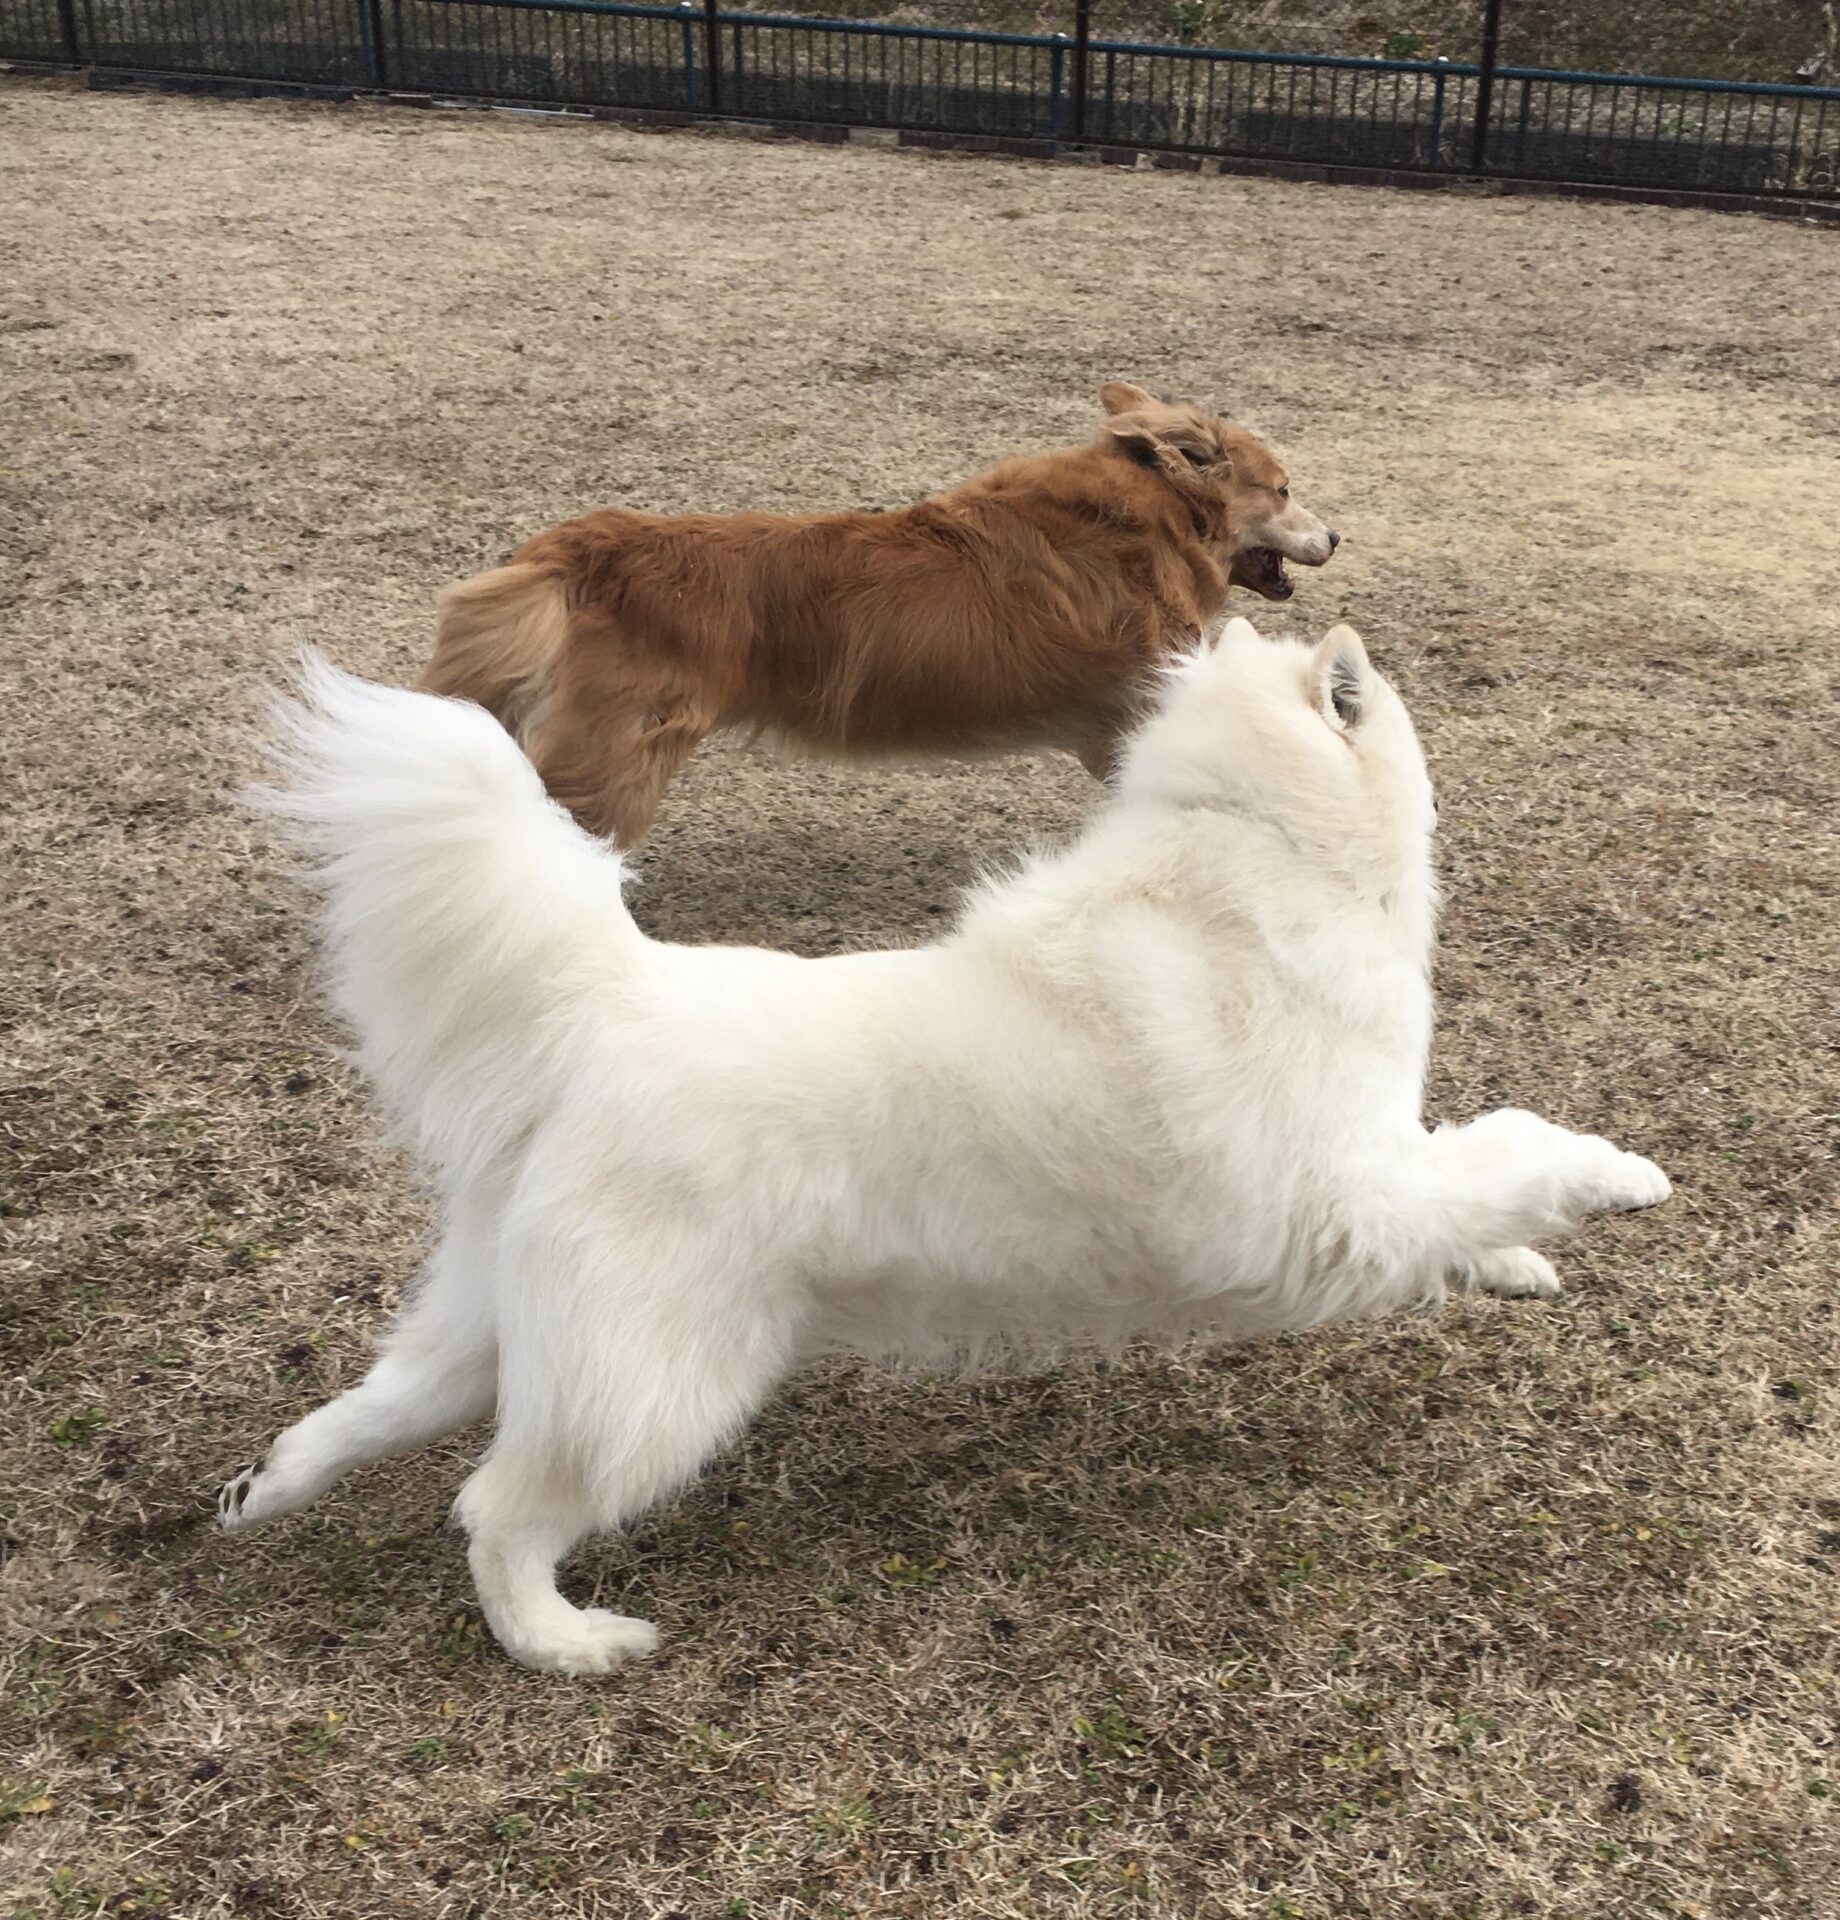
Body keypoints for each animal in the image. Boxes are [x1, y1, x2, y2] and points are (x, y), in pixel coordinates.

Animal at [220, 620, 1669, 1675]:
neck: (1249, 849)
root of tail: (610, 1002)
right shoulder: (1342, 1203)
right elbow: (1513, 1150)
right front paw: (1621, 1183)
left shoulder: (1376, 1168)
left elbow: (1471, 1170)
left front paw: (1515, 1266)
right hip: (656, 1384)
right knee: (499, 1516)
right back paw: (569, 1646)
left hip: (505, 1319)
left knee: (379, 1406)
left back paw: (264, 1490)